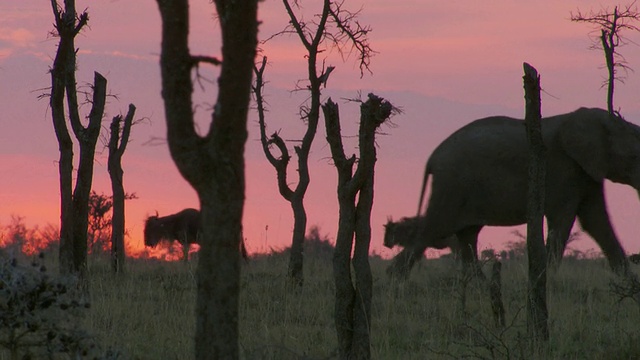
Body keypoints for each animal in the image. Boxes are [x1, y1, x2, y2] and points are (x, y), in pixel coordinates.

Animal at [384, 108, 640, 280]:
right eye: (634, 157)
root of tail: (432, 157)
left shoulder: (587, 172)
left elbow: (597, 221)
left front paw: (629, 284)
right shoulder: (563, 169)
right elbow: (565, 220)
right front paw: (547, 280)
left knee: (467, 236)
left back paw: (479, 286)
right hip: (452, 184)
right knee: (434, 229)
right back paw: (394, 281)